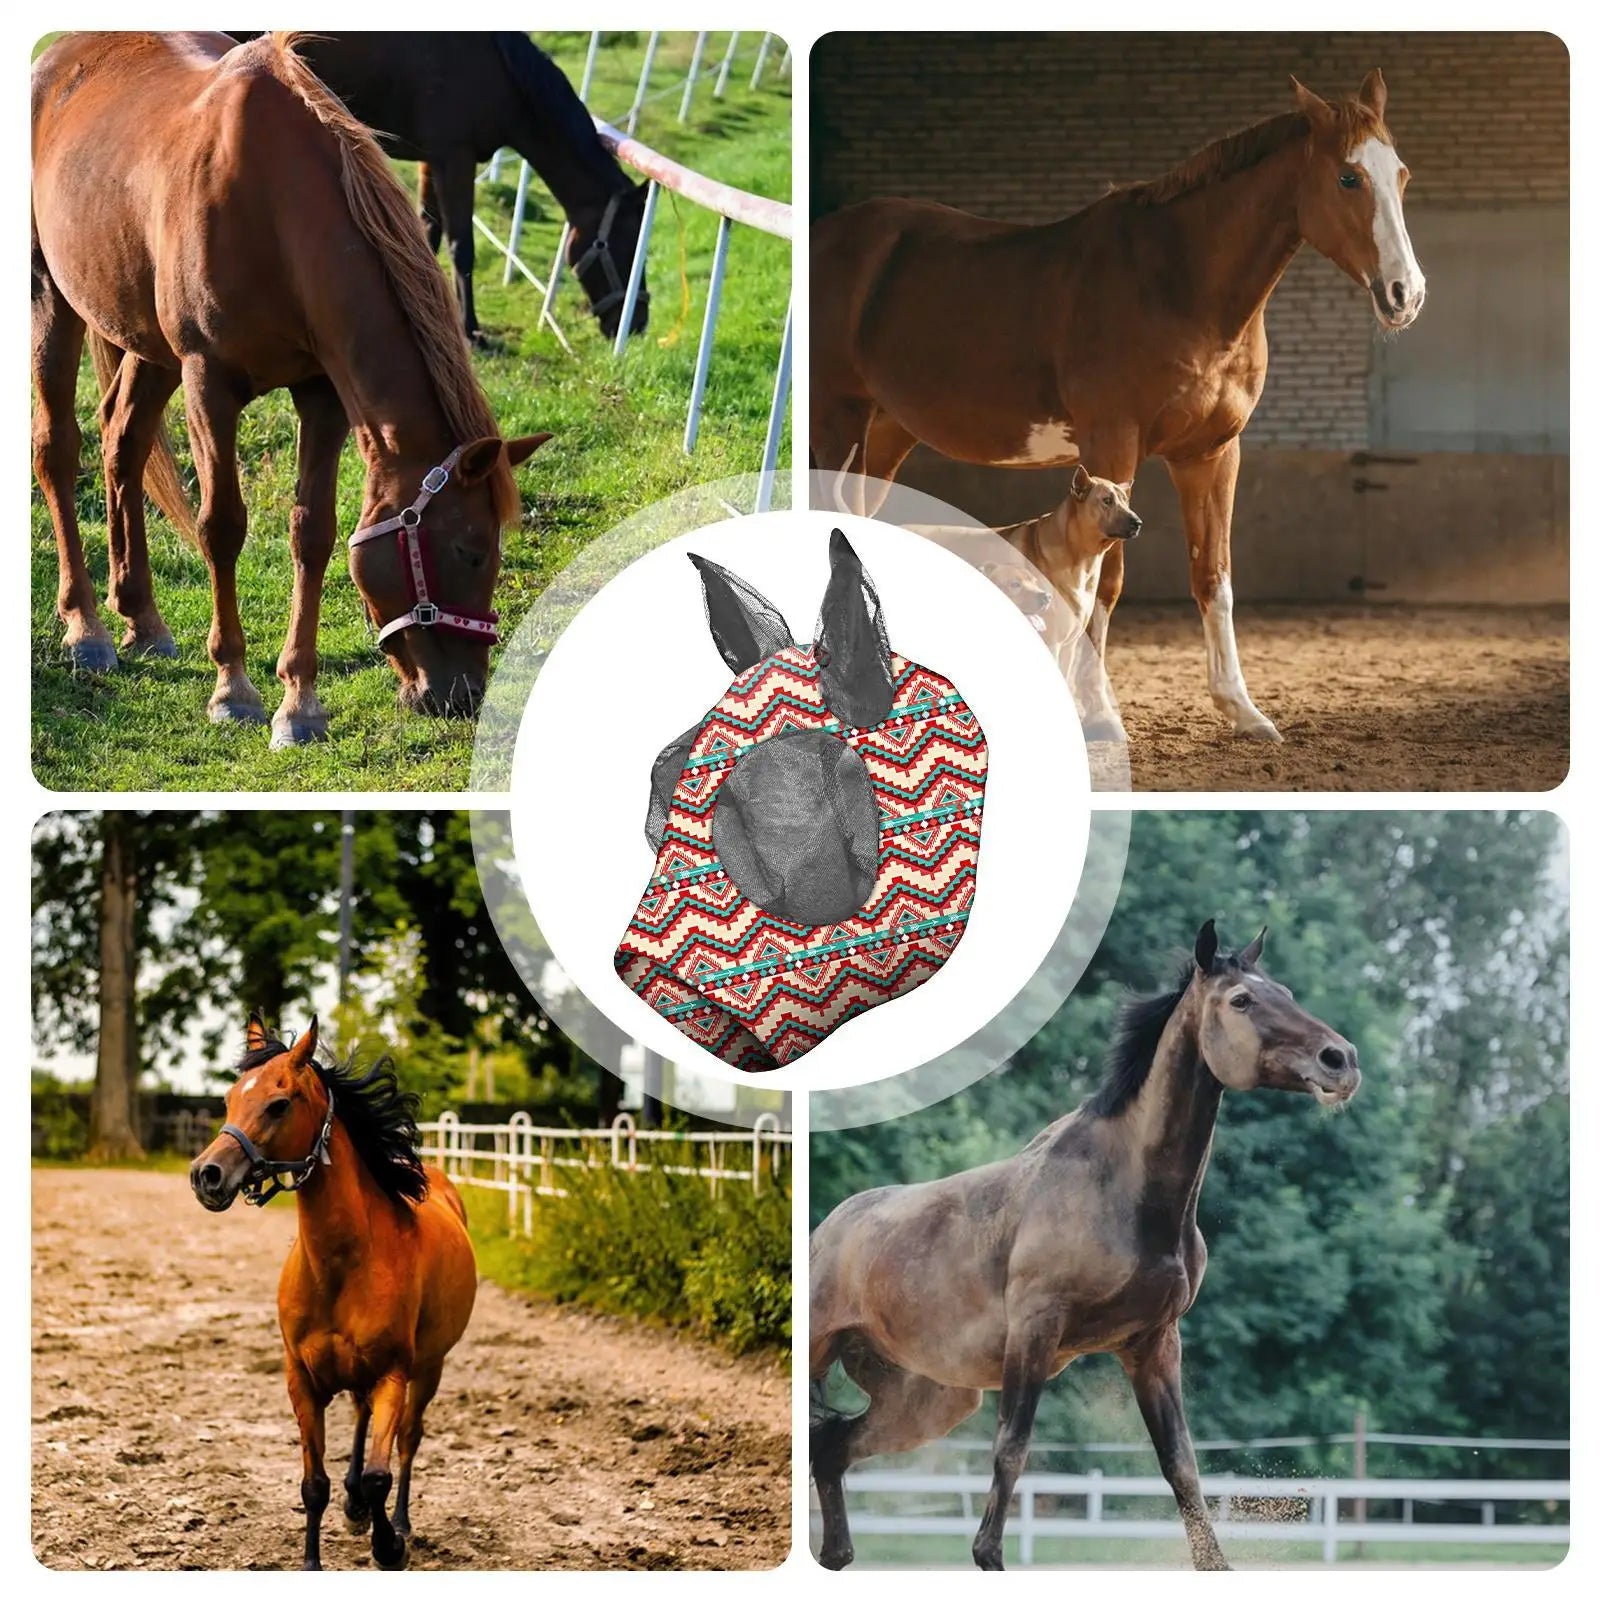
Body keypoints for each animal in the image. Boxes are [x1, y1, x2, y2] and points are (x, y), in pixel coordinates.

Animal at [31, 33, 549, 743]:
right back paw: (87, 628)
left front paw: (299, 703)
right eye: (470, 552)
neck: (274, 210)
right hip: (54, 300)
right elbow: (221, 526)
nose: (464, 695)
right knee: (58, 449)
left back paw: (142, 617)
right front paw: (234, 689)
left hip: (146, 343)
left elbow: (314, 532)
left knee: (122, 447)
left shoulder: (323, 394)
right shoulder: (208, 384)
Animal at [189, 1017, 477, 1571]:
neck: (342, 1267)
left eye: (279, 1104)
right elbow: (314, 1485)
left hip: (428, 1369)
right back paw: (354, 1505)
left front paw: (389, 1546)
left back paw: (397, 1521)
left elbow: (381, 1474)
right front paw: (315, 1556)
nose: (206, 1175)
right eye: (229, 1099)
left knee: (407, 1441)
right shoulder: (301, 1380)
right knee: (361, 1421)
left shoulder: (393, 1375)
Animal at [251, 32, 652, 344]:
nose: (637, 324)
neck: (497, 69)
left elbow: (427, 230)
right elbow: (461, 247)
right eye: (626, 247)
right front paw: (470, 330)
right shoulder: (455, 158)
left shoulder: (434, 159)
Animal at [810, 920, 1361, 1571]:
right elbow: (1011, 1451)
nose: (1341, 1060)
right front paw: (989, 1554)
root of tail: (827, 1231)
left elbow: (1182, 1467)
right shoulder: (1035, 1331)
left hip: (929, 1400)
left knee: (830, 1448)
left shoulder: (1153, 1345)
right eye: (1242, 1000)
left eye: (1286, 991)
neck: (1125, 1188)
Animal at [811, 72, 1426, 744]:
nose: (1406, 294)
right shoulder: (1113, 445)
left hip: (886, 433)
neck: (1179, 284)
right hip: (836, 422)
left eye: (1400, 175)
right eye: (1348, 177)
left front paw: (1242, 709)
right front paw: (1100, 714)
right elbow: (1107, 584)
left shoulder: (1211, 454)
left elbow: (1214, 576)